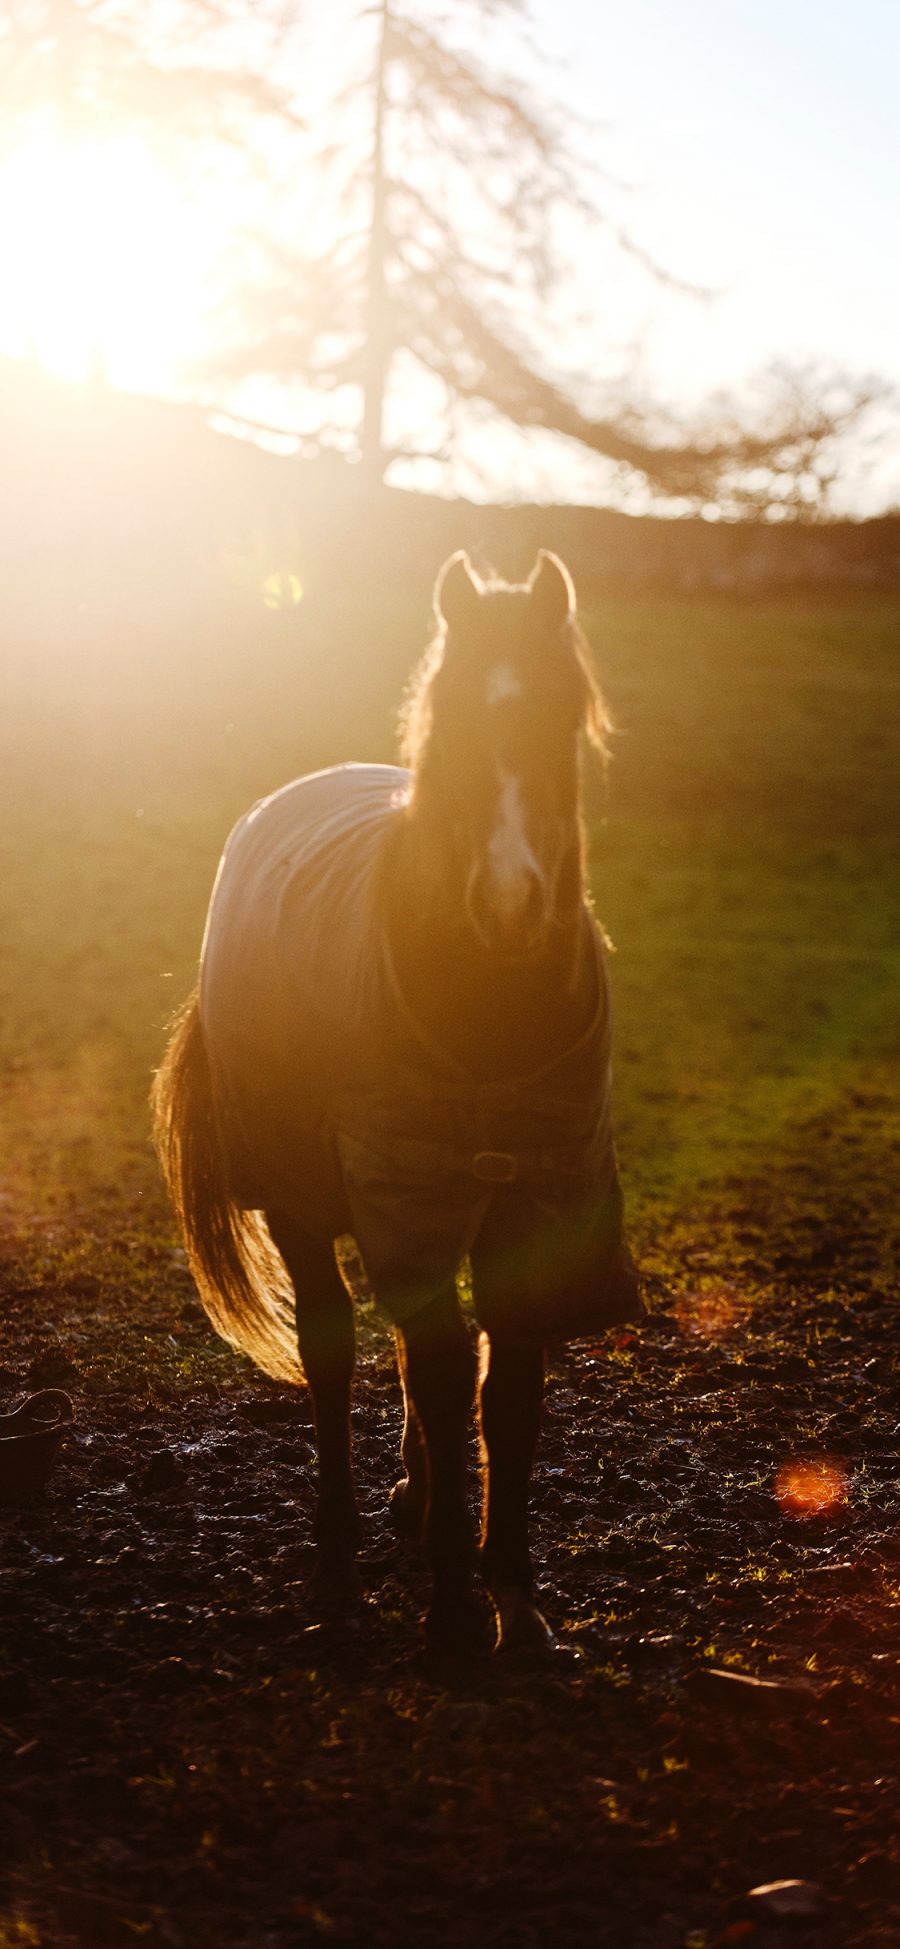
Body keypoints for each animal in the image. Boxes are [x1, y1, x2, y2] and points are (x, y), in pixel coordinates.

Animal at [152, 553, 638, 1660]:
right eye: (447, 725)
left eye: (562, 718)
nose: (509, 903)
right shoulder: (402, 1196)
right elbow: (445, 1373)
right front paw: (456, 1608)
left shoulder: (535, 1201)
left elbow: (506, 1394)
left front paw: (514, 1597)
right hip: (299, 1194)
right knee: (336, 1352)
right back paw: (337, 1560)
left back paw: (414, 1499)